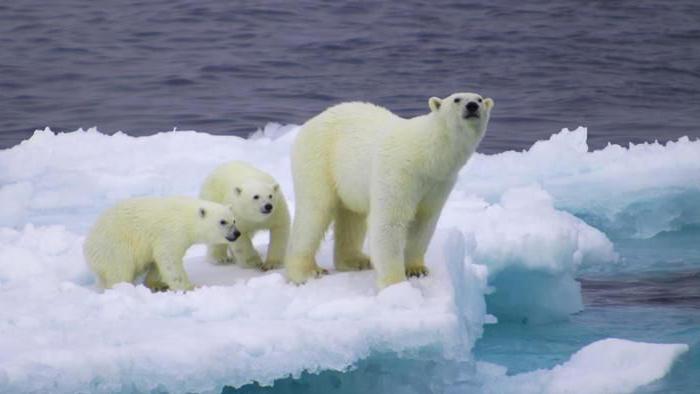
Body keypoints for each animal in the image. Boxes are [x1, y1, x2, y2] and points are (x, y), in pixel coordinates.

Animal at [82, 196, 238, 290]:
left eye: (234, 220)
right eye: (223, 221)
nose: (237, 233)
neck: (187, 218)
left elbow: (157, 261)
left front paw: (158, 284)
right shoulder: (171, 232)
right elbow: (169, 259)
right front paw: (190, 287)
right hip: (113, 246)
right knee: (119, 269)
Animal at [284, 92, 492, 290]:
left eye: (479, 99)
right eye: (457, 99)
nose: (472, 106)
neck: (427, 155)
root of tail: (310, 122)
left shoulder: (439, 183)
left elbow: (424, 221)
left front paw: (416, 269)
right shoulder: (399, 171)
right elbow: (390, 222)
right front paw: (396, 284)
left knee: (352, 216)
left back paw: (356, 260)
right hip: (319, 160)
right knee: (314, 212)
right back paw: (306, 272)